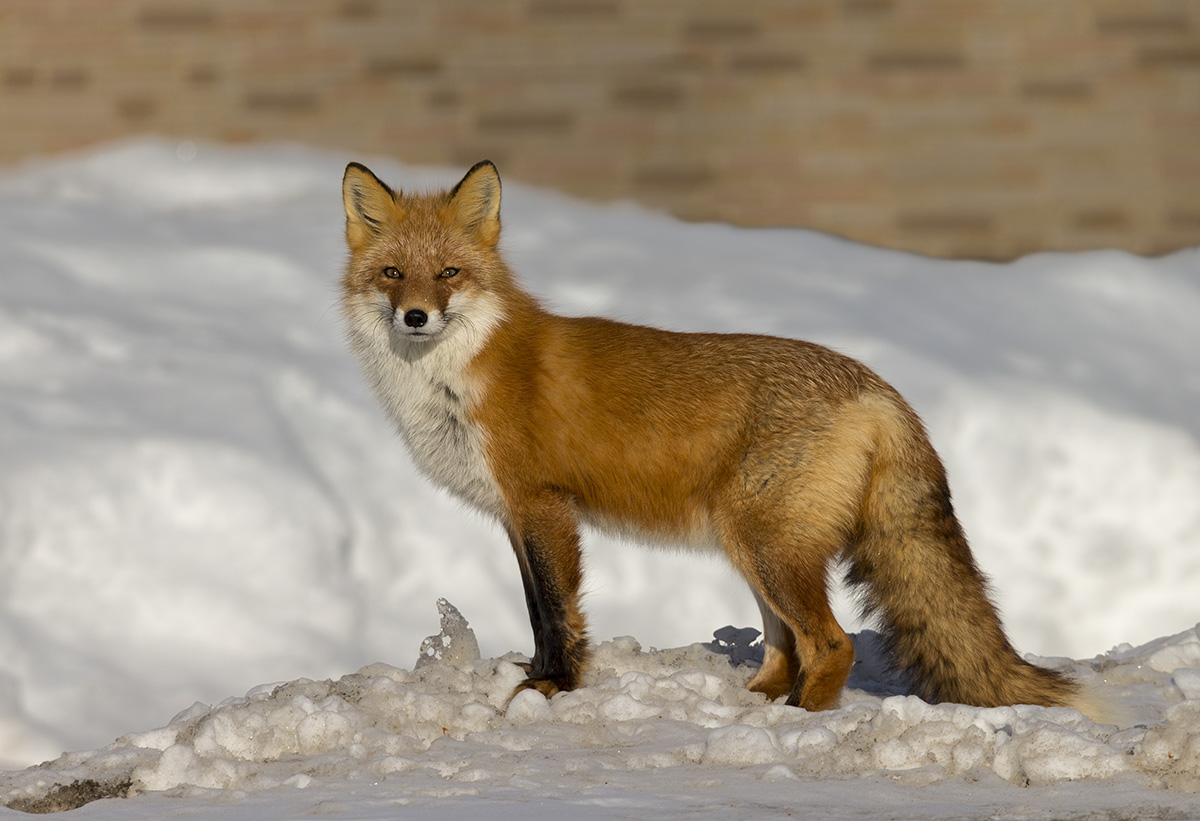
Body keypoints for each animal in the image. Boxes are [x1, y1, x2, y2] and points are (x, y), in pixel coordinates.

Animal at [340, 160, 1089, 710]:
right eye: (392, 273)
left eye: (449, 274)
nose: (414, 316)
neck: (460, 374)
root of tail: (877, 385)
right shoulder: (516, 516)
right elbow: (536, 609)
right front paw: (540, 679)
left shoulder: (542, 506)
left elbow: (557, 612)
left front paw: (553, 687)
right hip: (750, 543)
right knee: (786, 644)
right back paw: (759, 699)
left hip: (767, 544)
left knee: (832, 644)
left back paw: (799, 718)